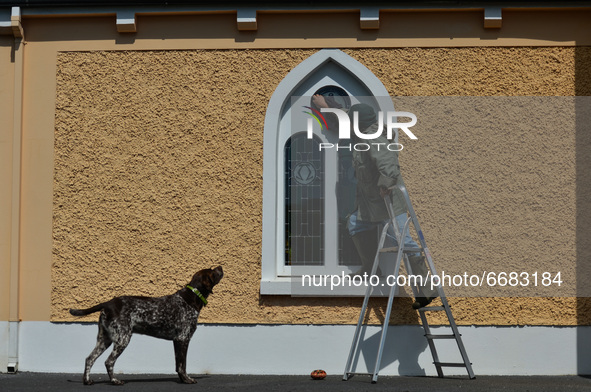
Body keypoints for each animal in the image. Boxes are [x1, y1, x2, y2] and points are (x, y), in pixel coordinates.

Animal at [69, 264, 224, 384]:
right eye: (212, 271)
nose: (221, 266)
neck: (191, 298)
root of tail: (107, 303)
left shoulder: (177, 341)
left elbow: (177, 365)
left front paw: (182, 379)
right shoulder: (183, 339)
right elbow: (182, 365)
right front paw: (187, 380)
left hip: (104, 339)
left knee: (89, 359)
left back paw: (87, 381)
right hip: (122, 338)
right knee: (109, 361)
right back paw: (114, 381)